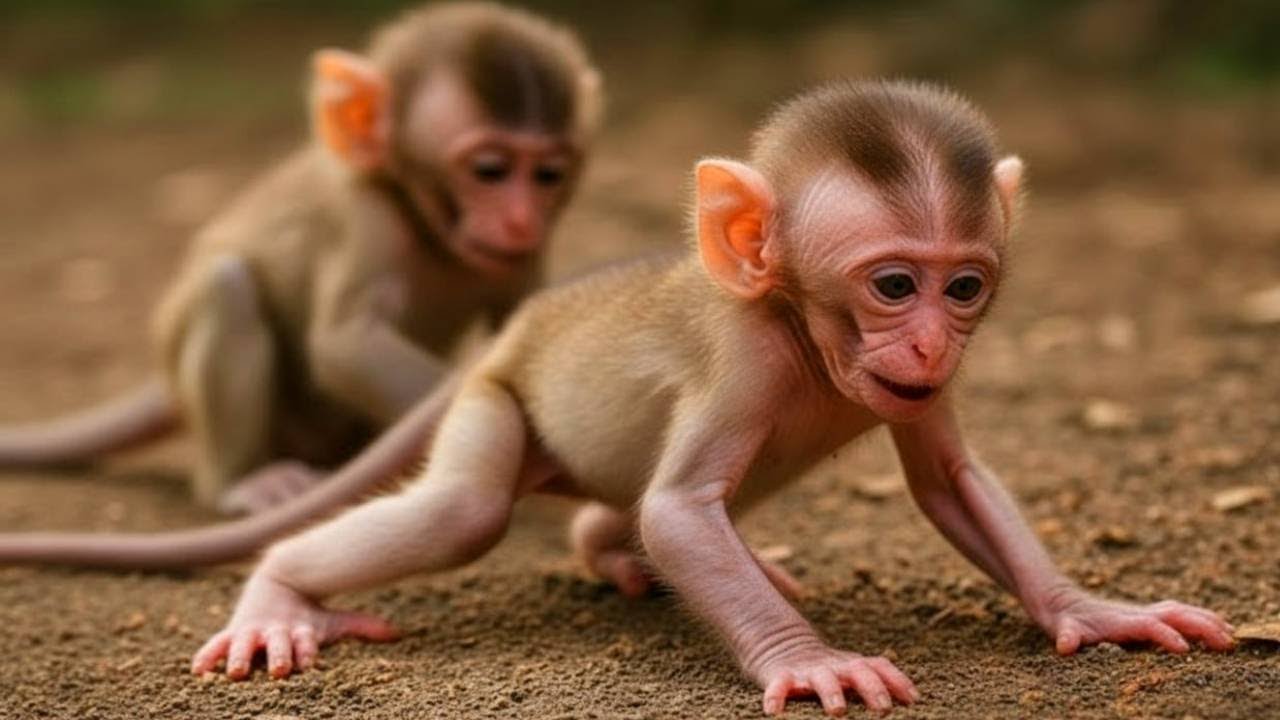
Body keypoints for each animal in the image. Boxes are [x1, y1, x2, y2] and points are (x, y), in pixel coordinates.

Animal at [0, 1, 602, 515]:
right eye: (489, 170)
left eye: (549, 174)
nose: (521, 220)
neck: (422, 221)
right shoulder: (368, 222)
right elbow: (345, 345)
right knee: (228, 289)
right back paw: (243, 482)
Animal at [181, 80, 1239, 714]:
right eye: (896, 285)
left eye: (966, 287)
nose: (934, 339)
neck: (804, 334)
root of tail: (523, 326)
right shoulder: (745, 362)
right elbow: (682, 511)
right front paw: (808, 662)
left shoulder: (925, 392)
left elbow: (951, 479)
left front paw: (1091, 611)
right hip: (492, 399)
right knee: (466, 510)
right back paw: (279, 599)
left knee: (624, 516)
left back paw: (619, 554)